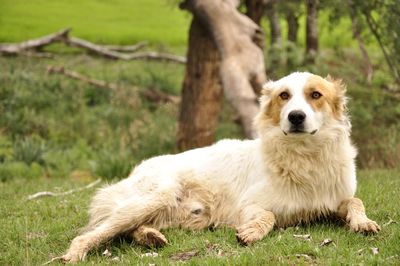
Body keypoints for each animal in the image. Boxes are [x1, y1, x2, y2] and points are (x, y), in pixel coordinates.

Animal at [62, 72, 382, 262]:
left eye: (316, 95)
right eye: (284, 96)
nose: (296, 117)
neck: (305, 157)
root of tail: (137, 168)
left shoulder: (336, 199)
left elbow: (356, 201)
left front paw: (363, 222)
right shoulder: (249, 205)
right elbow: (268, 216)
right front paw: (251, 232)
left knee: (128, 229)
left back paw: (150, 237)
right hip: (155, 198)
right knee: (94, 232)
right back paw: (75, 254)